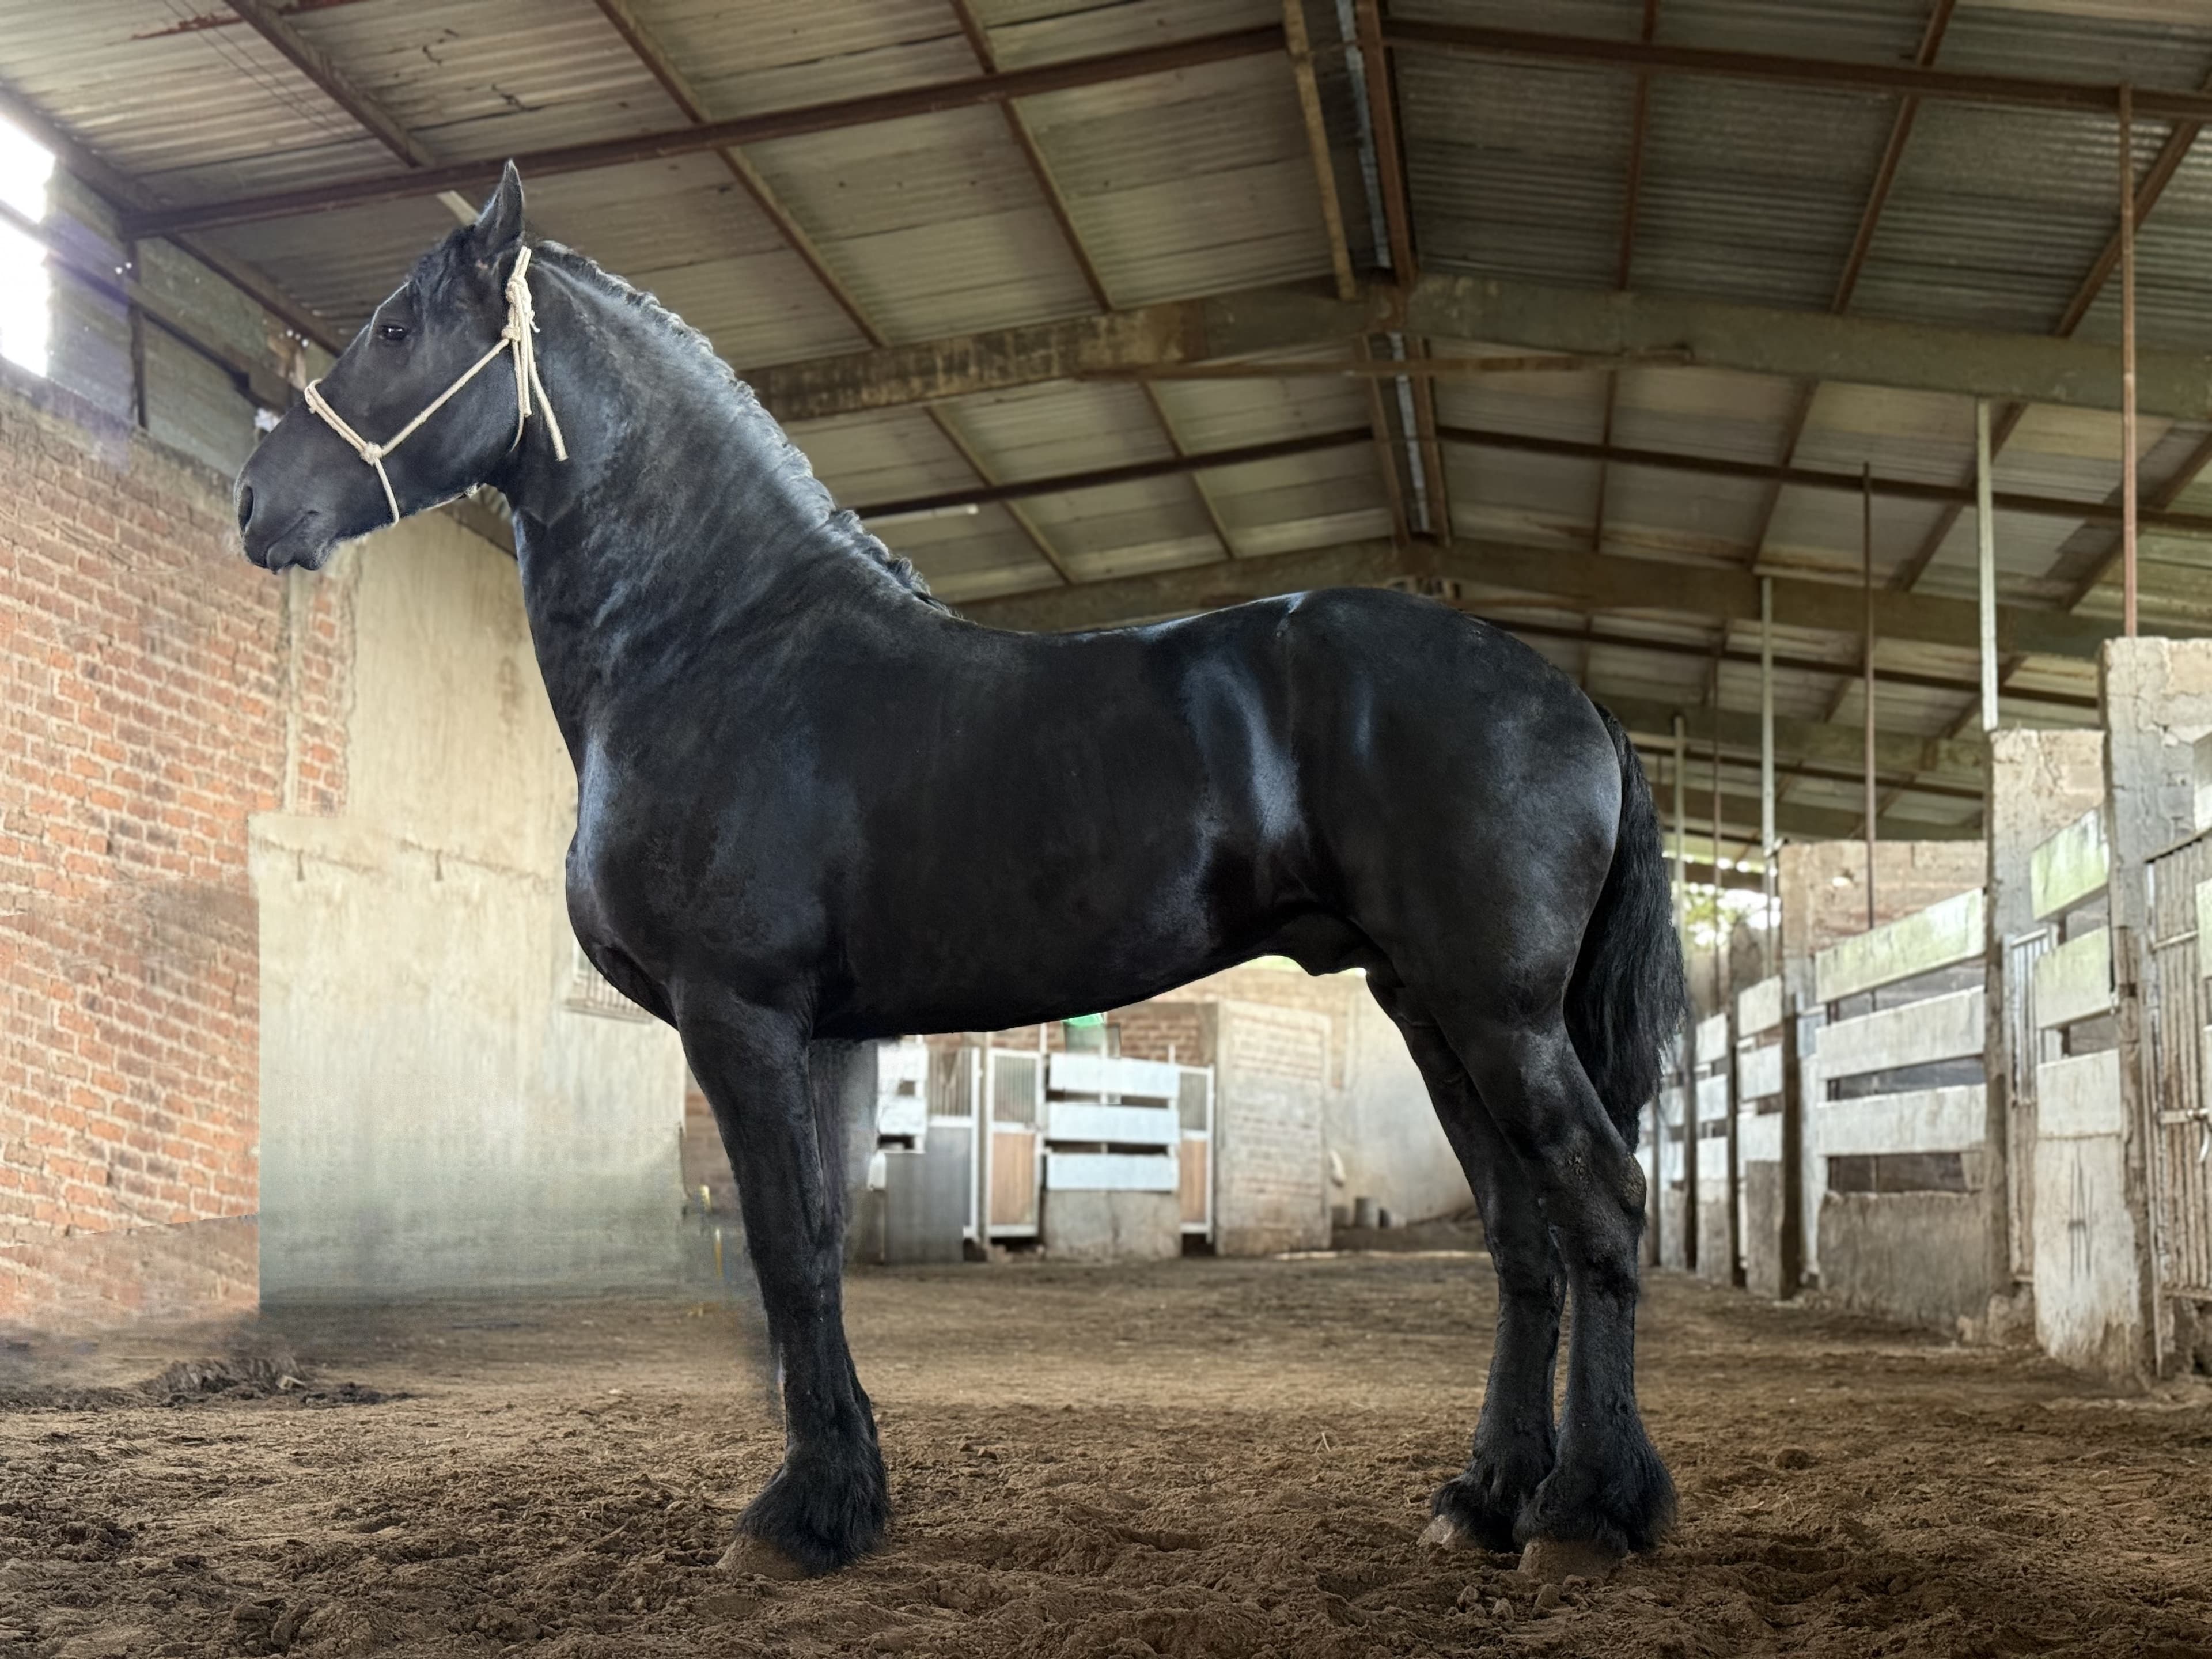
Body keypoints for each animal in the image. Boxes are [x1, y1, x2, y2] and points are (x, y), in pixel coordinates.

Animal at [234, 164, 1686, 1578]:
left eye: (399, 328)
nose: (257, 502)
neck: (720, 646)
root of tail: (1571, 697)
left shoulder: (737, 1012)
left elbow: (781, 1250)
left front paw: (796, 1520)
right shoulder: (821, 1036)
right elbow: (819, 1244)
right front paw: (843, 1499)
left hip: (1495, 1014)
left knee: (1600, 1205)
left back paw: (1584, 1514)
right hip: (1431, 1012)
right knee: (1520, 1238)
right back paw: (1486, 1499)